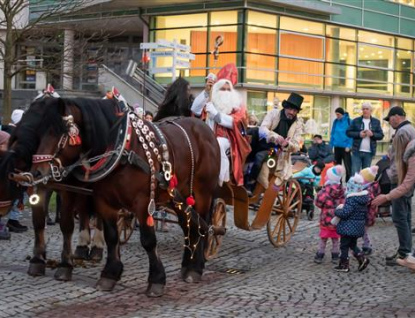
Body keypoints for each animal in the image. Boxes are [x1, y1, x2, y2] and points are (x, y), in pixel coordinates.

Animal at [9, 96, 221, 296]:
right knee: (189, 228)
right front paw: (109, 274)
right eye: (40, 131)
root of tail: (204, 128)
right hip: (178, 197)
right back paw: (187, 265)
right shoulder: (104, 201)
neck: (122, 150)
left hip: (202, 194)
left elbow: (148, 240)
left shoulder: (143, 203)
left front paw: (156, 279)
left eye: (59, 133)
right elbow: (111, 236)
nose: (35, 172)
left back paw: (196, 267)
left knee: (203, 227)